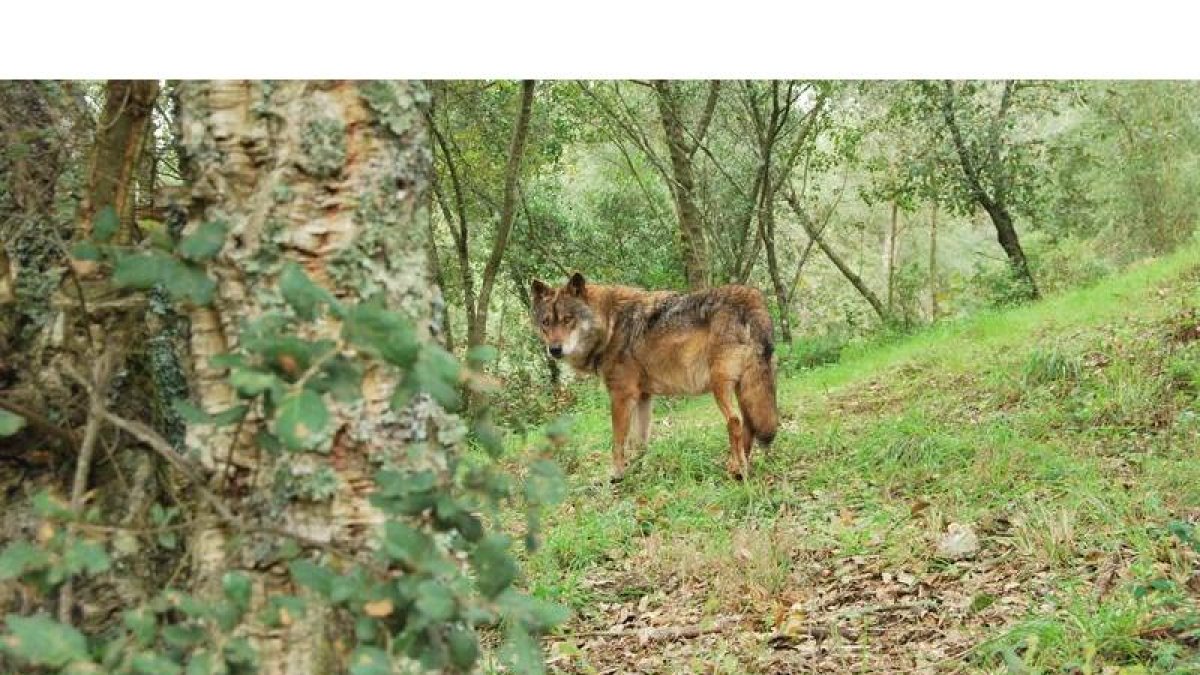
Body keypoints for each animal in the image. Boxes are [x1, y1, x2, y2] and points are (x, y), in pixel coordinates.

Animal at [532, 270, 777, 480]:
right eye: (546, 322)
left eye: (567, 319)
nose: (554, 350)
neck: (610, 325)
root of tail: (750, 297)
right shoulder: (643, 397)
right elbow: (639, 443)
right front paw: (638, 473)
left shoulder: (621, 396)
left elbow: (618, 442)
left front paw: (616, 476)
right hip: (744, 389)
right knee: (749, 424)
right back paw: (738, 466)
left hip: (721, 386)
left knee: (735, 422)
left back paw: (739, 470)